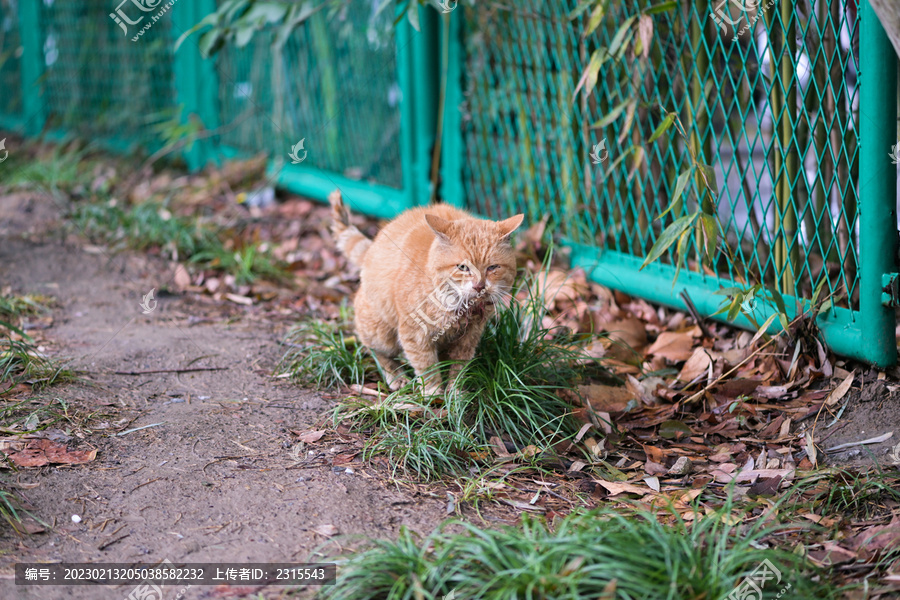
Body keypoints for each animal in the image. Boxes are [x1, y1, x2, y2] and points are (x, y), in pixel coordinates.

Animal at [328, 190, 528, 392]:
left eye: (493, 267)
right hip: (380, 333)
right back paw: (397, 377)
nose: (479, 286)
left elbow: (458, 368)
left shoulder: (468, 339)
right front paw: (434, 393)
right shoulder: (415, 336)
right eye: (463, 267)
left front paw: (455, 393)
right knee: (378, 352)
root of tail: (370, 250)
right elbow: (427, 368)